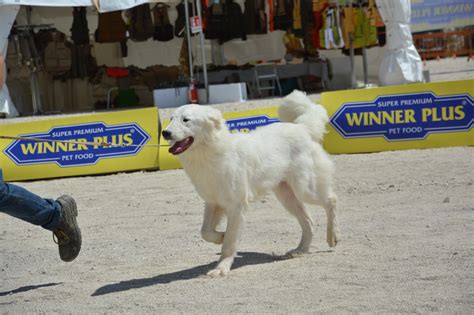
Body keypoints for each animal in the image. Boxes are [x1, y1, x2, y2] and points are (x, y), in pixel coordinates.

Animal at [163, 89, 340, 276]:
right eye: (171, 118)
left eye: (186, 120)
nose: (165, 133)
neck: (210, 152)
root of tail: (301, 127)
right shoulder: (213, 203)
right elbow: (205, 232)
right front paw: (220, 237)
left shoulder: (236, 206)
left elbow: (230, 243)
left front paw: (221, 268)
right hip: (287, 196)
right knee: (308, 221)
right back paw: (300, 250)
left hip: (305, 189)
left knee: (331, 200)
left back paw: (333, 236)